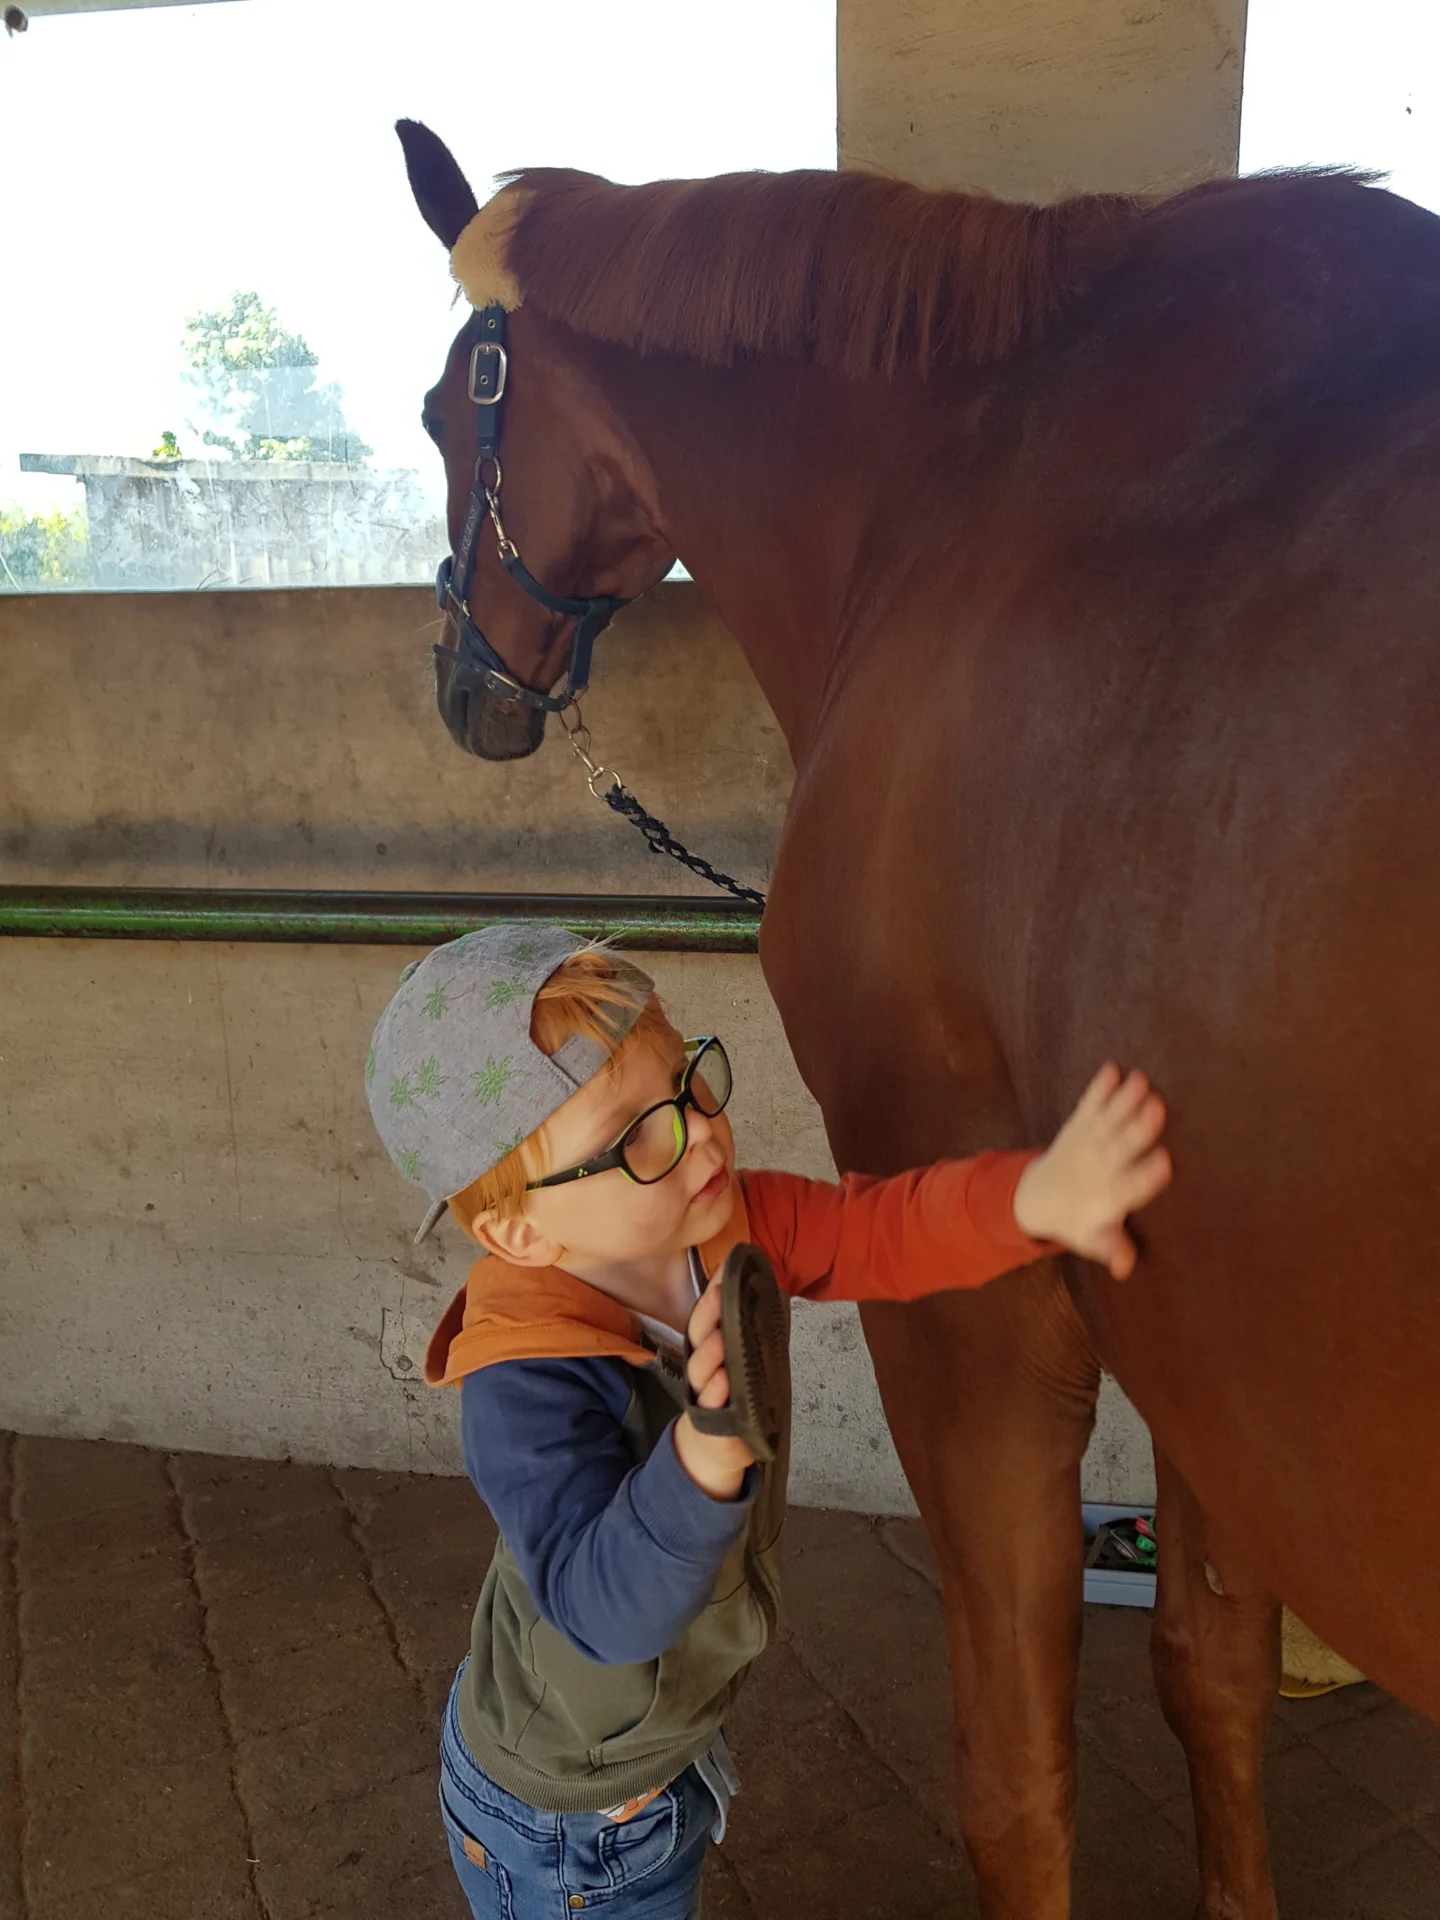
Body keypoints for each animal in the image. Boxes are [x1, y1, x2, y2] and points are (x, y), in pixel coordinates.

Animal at [394, 118, 1440, 1919]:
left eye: (447, 411)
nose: (466, 684)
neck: (972, 480)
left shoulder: (985, 1310)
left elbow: (1017, 1785)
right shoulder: (1190, 1355)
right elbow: (1212, 1673)